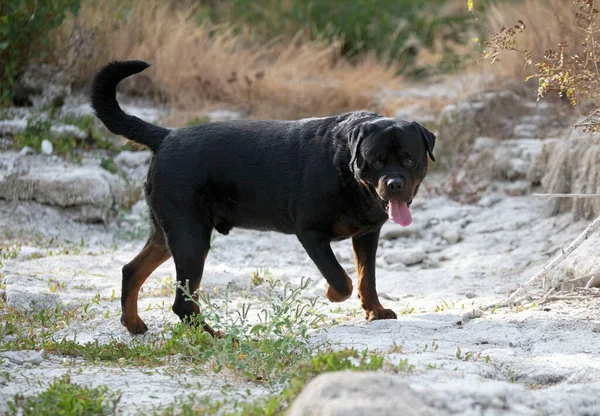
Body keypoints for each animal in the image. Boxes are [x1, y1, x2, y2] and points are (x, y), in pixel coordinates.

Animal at [90, 61, 436, 334]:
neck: (346, 172)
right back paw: (212, 335)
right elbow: (342, 280)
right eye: (376, 161)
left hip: (169, 233)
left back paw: (134, 323)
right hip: (191, 237)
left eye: (408, 159)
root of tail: (165, 135)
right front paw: (332, 295)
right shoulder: (311, 233)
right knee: (182, 303)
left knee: (132, 270)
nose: (394, 184)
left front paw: (375, 310)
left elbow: (367, 278)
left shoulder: (367, 234)